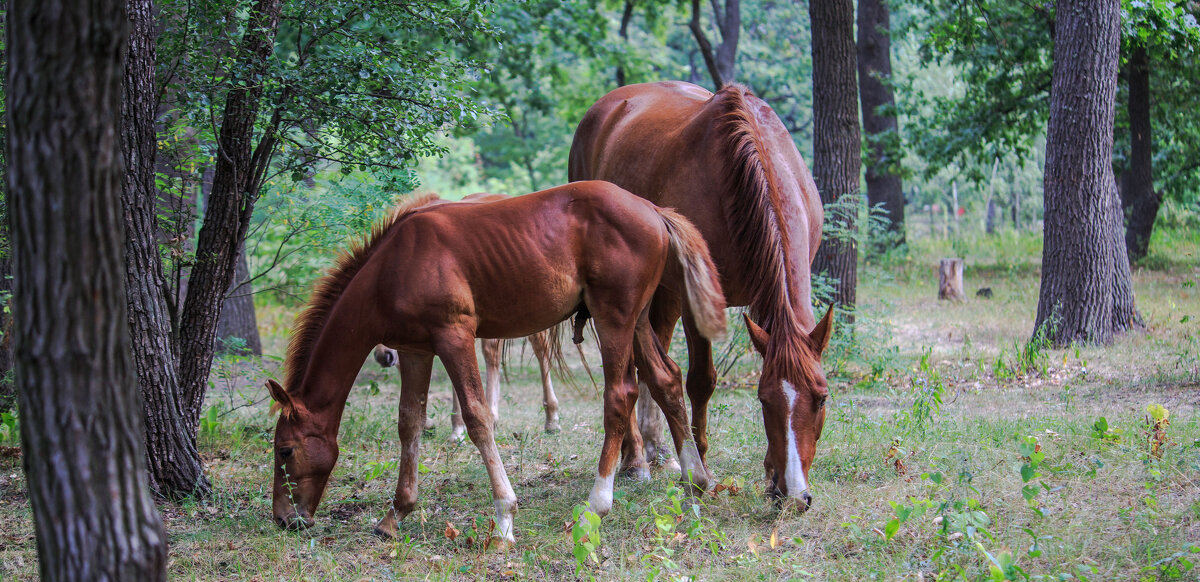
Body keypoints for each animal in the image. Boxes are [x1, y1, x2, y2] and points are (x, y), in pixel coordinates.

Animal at [372, 328, 559, 436]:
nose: (383, 357)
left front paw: (458, 429)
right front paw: (430, 424)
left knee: (539, 345)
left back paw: (551, 420)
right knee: (493, 350)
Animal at [571, 81, 835, 508]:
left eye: (822, 397)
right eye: (763, 400)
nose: (795, 495)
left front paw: (767, 474)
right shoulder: (699, 303)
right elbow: (700, 381)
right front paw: (703, 468)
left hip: (662, 295)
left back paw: (659, 450)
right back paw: (635, 459)